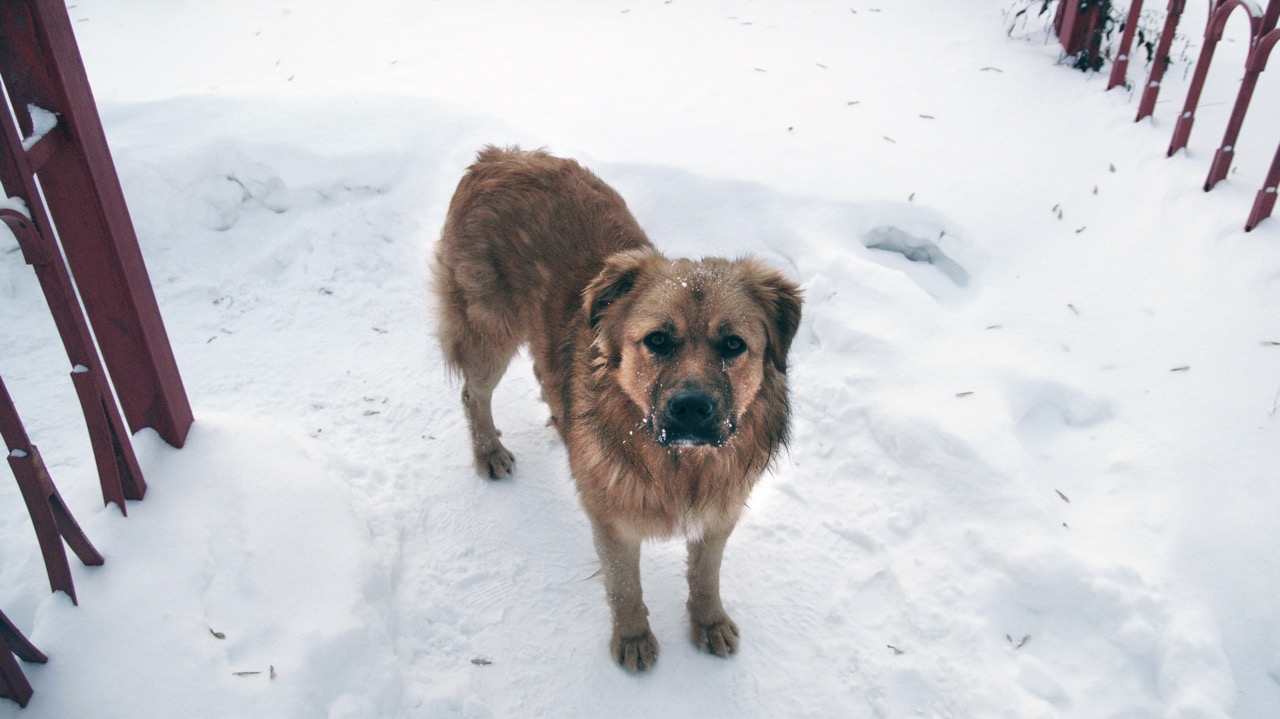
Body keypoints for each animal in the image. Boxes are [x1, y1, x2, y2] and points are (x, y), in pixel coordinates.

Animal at [435, 147, 803, 670]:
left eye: (733, 344)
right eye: (658, 340)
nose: (691, 408)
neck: (680, 464)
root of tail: (499, 157)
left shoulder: (719, 514)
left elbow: (705, 575)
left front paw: (708, 622)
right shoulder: (612, 522)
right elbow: (625, 586)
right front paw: (632, 638)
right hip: (489, 328)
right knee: (474, 394)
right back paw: (489, 451)